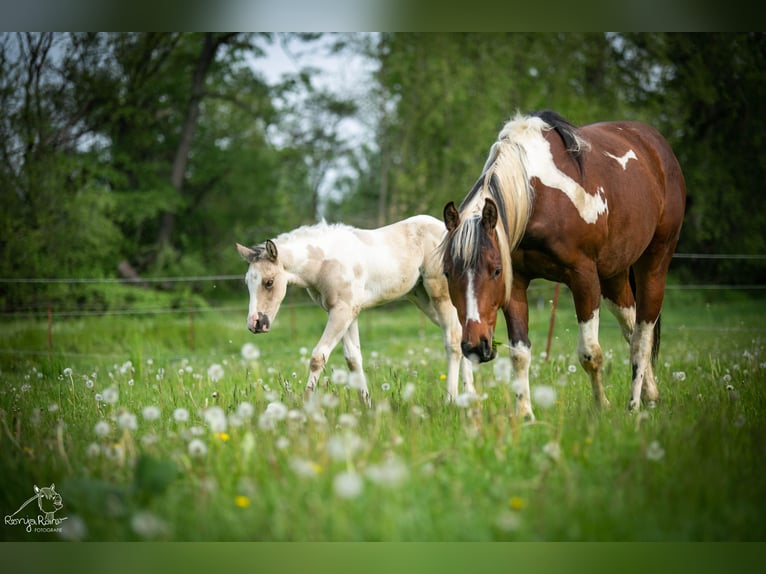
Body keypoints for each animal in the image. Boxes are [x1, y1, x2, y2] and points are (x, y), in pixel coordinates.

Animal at [236, 215, 476, 407]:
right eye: (247, 282)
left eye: (268, 282)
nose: (255, 323)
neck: (325, 261)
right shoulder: (347, 313)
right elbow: (353, 359)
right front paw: (366, 406)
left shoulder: (342, 311)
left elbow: (318, 357)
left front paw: (305, 407)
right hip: (423, 299)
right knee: (460, 333)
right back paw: (470, 396)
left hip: (439, 295)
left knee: (452, 340)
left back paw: (451, 399)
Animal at [441, 110, 686, 420]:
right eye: (448, 273)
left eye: (495, 271)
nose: (475, 346)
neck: (537, 196)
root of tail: (656, 145)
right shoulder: (516, 283)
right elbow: (520, 353)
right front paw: (525, 414)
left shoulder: (584, 278)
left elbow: (590, 353)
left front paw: (601, 406)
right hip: (615, 275)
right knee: (631, 329)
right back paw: (651, 395)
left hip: (654, 262)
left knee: (643, 336)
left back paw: (634, 405)